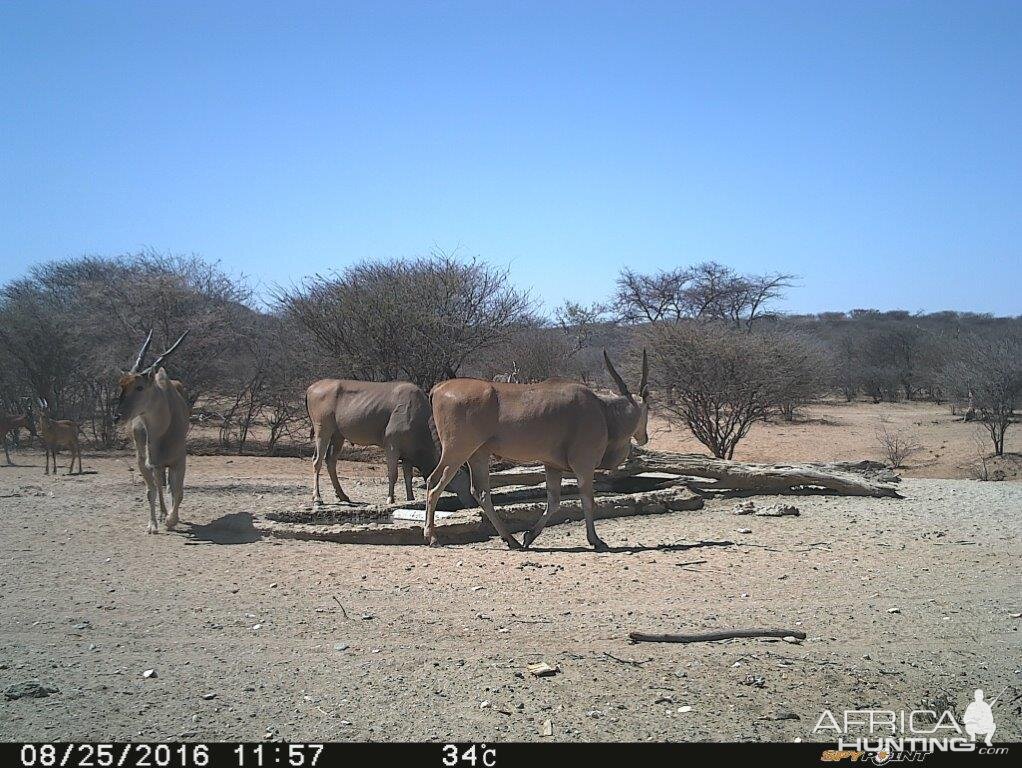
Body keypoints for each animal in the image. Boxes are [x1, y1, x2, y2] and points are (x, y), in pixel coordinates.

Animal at [115, 331, 190, 535]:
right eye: (121, 386)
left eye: (139, 387)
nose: (117, 416)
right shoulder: (143, 462)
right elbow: (151, 492)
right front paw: (152, 525)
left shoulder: (179, 461)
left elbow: (178, 491)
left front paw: (172, 519)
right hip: (151, 463)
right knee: (158, 484)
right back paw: (162, 514)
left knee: (169, 486)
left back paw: (167, 514)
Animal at [304, 378, 476, 511]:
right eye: (465, 480)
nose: (473, 503)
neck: (419, 417)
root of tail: (311, 388)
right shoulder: (392, 445)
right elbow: (393, 473)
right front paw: (390, 499)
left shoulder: (408, 453)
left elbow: (408, 475)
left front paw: (410, 498)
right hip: (323, 430)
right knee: (317, 460)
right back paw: (317, 498)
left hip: (338, 436)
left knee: (331, 461)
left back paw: (343, 496)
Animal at [425, 351, 649, 548]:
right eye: (647, 408)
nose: (645, 437)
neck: (603, 410)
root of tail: (439, 388)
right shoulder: (584, 465)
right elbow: (587, 500)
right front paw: (596, 540)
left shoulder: (552, 466)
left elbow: (554, 501)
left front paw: (529, 536)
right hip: (456, 451)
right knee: (435, 483)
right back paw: (433, 537)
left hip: (477, 454)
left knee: (479, 492)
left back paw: (511, 540)